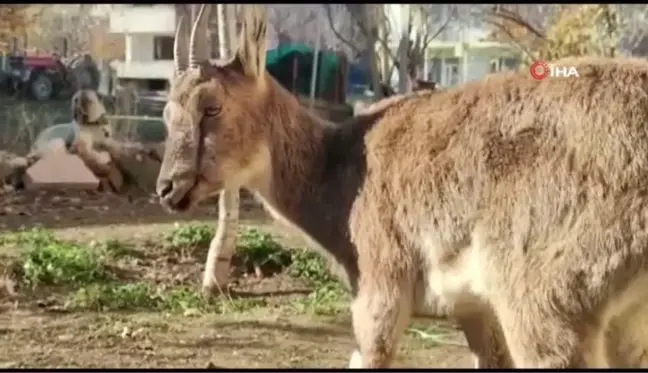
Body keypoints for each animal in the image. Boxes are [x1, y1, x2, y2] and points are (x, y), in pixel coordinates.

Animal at [158, 3, 648, 370]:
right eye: (166, 113)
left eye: (212, 107)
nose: (168, 188)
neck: (339, 181)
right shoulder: (472, 307)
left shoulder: (382, 284)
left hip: (549, 298)